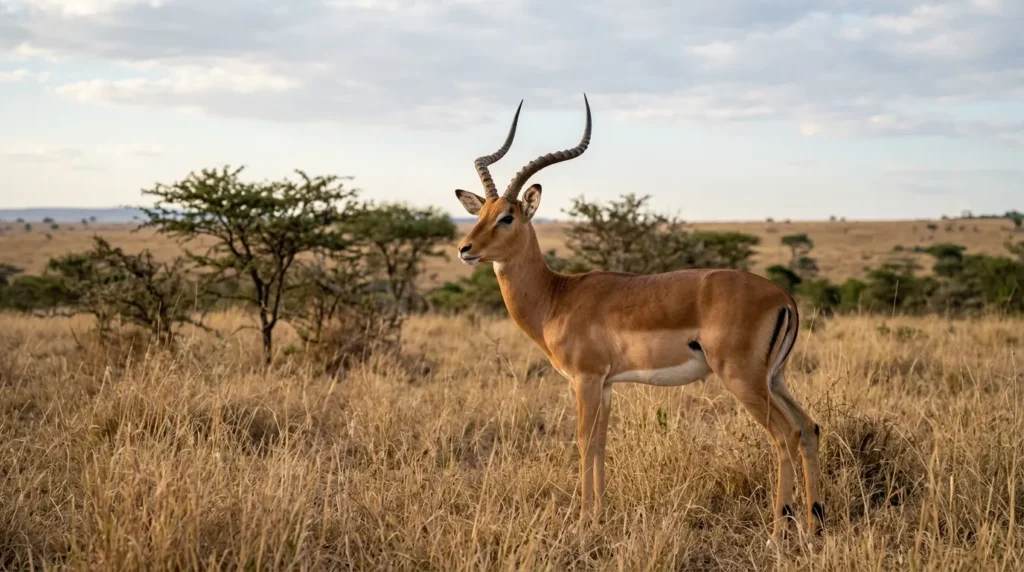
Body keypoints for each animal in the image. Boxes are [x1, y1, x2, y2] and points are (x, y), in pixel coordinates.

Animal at [452, 95, 824, 540]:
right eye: (481, 213)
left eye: (507, 216)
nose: (465, 248)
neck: (556, 296)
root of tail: (784, 297)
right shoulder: (607, 384)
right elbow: (600, 443)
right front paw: (598, 516)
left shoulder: (585, 379)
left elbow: (584, 441)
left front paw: (583, 521)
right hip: (775, 378)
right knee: (809, 428)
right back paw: (816, 522)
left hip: (744, 380)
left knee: (785, 435)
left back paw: (778, 529)